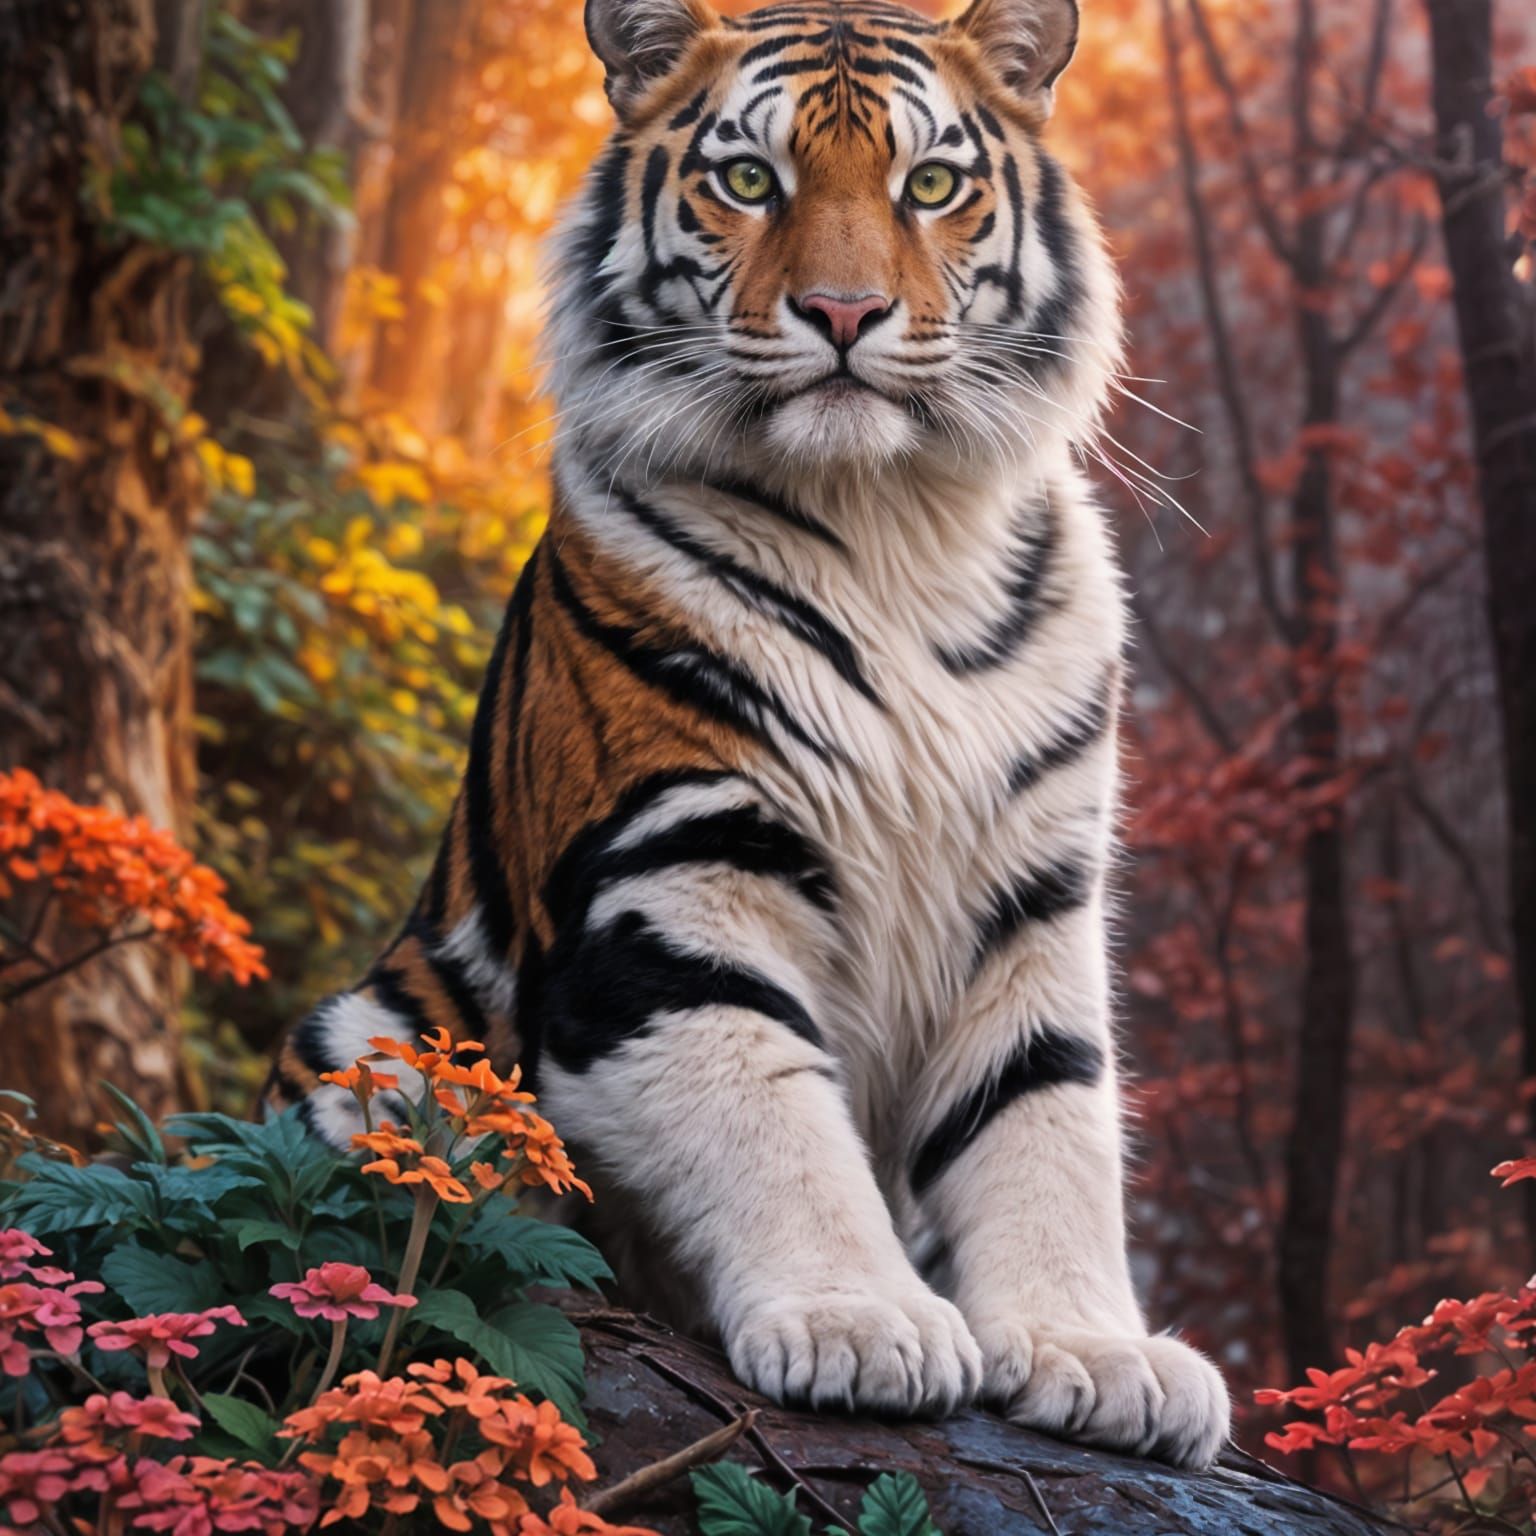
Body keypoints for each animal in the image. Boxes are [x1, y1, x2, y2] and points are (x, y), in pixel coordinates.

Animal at [271, 0, 1231, 1469]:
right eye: (747, 179)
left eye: (929, 185)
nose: (843, 312)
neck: (896, 528)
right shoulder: (671, 885)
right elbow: (771, 1113)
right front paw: (862, 1327)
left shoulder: (1033, 893)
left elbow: (1046, 1122)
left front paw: (1093, 1353)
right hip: (373, 1032)